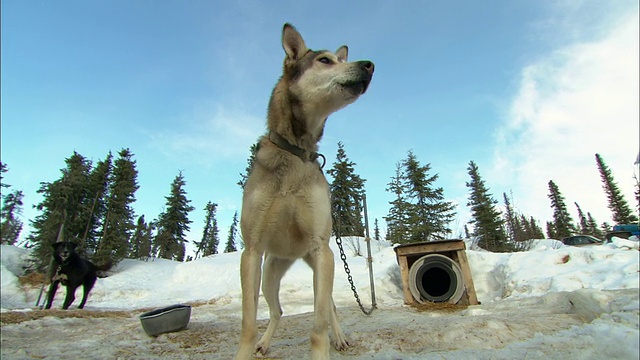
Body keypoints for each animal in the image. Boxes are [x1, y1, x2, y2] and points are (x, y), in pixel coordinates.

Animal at [238, 23, 372, 358]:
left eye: (340, 59)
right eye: (325, 60)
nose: (370, 64)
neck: (296, 150)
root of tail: (294, 256)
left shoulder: (322, 249)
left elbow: (318, 327)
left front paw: (327, 343)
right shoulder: (252, 250)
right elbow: (248, 324)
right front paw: (248, 346)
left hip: (323, 265)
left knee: (330, 307)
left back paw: (340, 337)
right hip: (269, 276)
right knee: (277, 311)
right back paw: (264, 343)